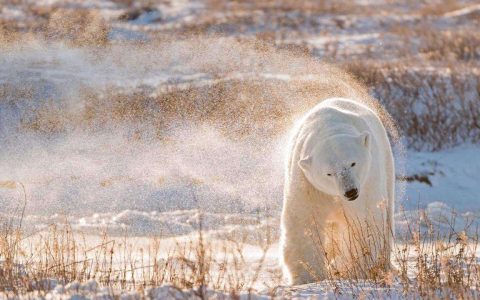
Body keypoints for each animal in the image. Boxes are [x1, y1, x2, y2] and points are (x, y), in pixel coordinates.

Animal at [282, 97, 394, 284]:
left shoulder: (367, 182)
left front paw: (347, 268)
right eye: (329, 173)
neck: (329, 128)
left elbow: (363, 222)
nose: (350, 192)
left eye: (353, 163)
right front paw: (307, 276)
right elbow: (304, 222)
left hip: (386, 165)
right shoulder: (308, 184)